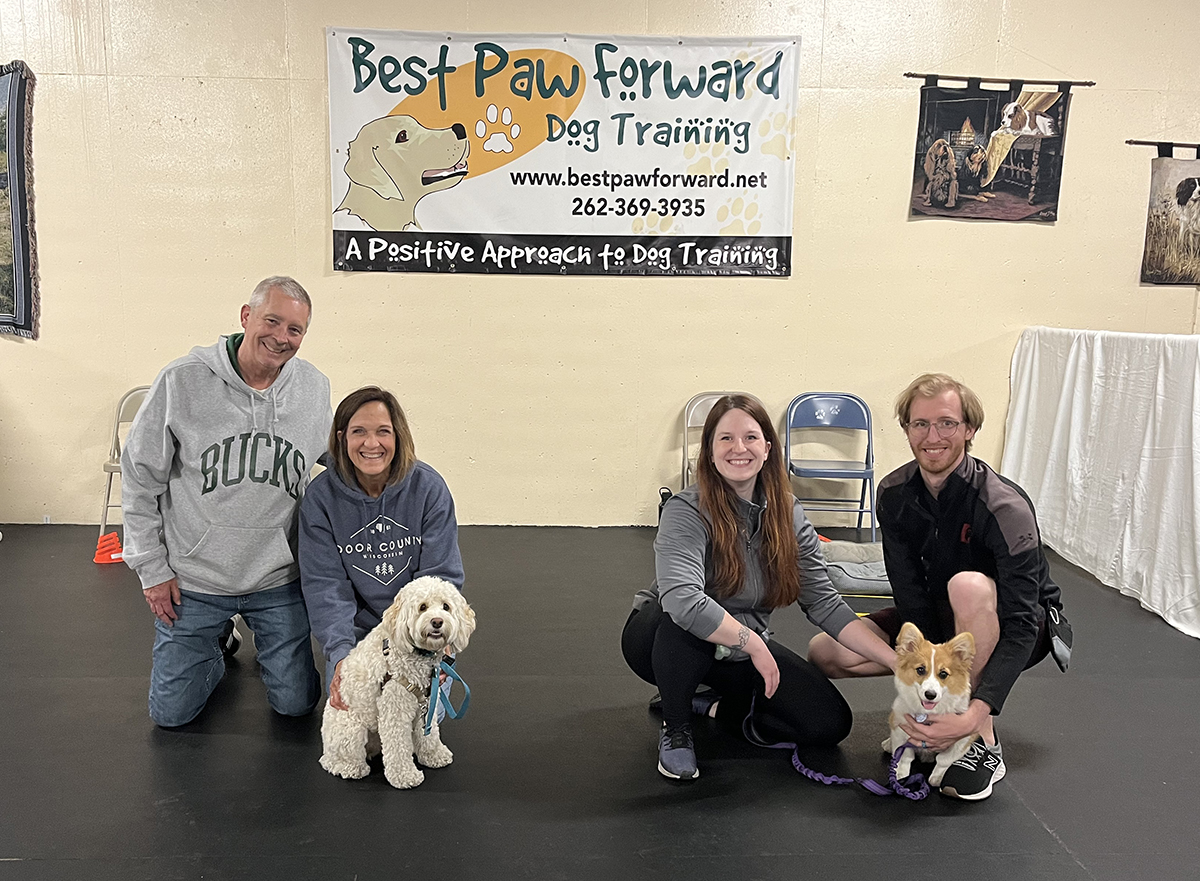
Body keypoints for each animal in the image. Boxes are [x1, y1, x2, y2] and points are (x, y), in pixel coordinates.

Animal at [321, 576, 475, 792]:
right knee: (333, 760)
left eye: (446, 606)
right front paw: (405, 776)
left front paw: (434, 755)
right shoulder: (395, 710)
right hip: (350, 730)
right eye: (422, 607)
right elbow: (398, 746)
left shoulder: (427, 704)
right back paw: (350, 767)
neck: (416, 654)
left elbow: (429, 734)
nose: (437, 621)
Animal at [883, 619, 974, 787]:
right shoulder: (900, 726)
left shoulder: (963, 737)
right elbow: (904, 755)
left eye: (943, 674)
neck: (928, 713)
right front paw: (899, 773)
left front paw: (938, 777)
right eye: (920, 670)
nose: (930, 695)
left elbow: (945, 759)